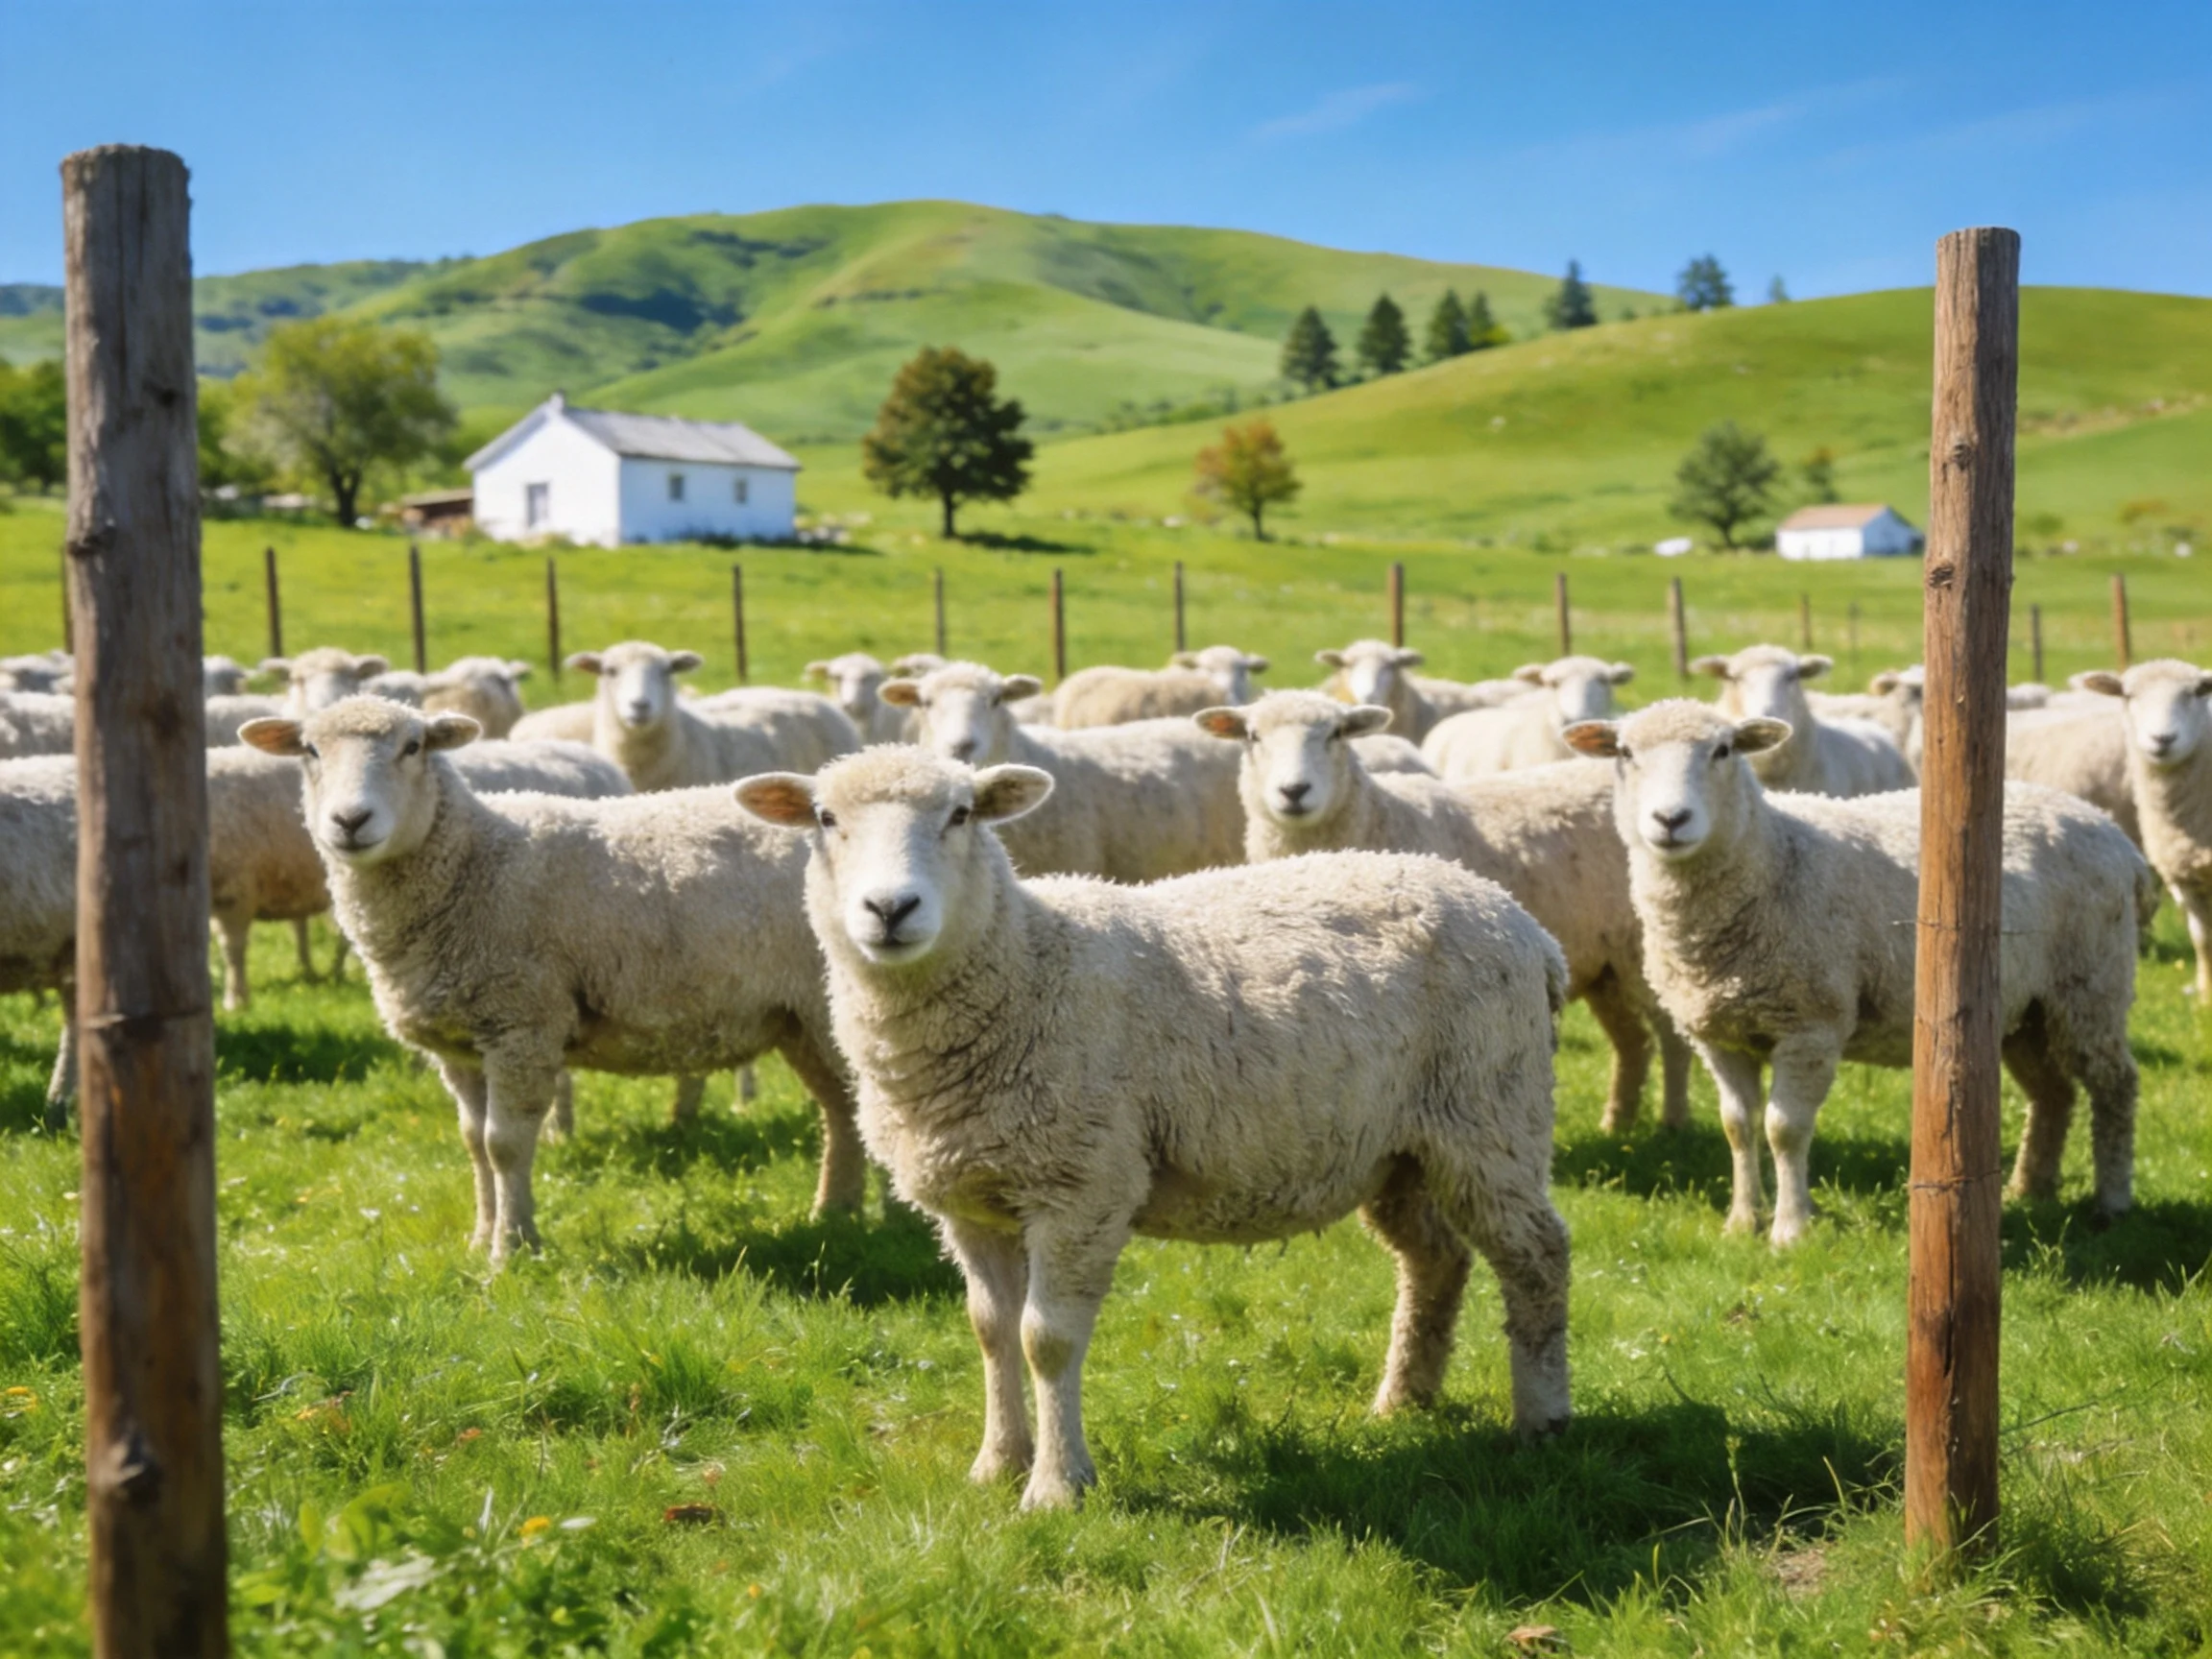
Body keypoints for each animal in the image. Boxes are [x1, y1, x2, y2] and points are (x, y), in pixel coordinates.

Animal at [238, 697, 864, 1258]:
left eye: (412, 747)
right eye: (311, 750)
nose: (350, 821)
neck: (473, 863)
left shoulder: (521, 1021)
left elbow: (505, 1145)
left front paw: (512, 1251)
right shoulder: (460, 1044)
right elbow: (472, 1142)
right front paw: (479, 1240)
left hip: (823, 1006)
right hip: (798, 1019)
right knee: (842, 1110)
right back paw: (839, 1214)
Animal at [735, 746, 1573, 1509]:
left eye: (962, 814)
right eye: (825, 819)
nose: (890, 910)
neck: (1026, 967)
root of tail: (1524, 925)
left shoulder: (1080, 1184)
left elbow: (1046, 1339)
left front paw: (1056, 1487)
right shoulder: (971, 1201)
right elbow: (990, 1331)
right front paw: (996, 1465)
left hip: (1491, 1115)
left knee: (1536, 1256)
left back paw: (1543, 1417)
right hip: (1396, 1148)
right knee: (1435, 1260)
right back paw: (1405, 1400)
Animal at [1203, 691, 1691, 1131]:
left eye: (1336, 734)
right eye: (1252, 736)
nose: (1294, 791)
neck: (1382, 818)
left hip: (1642, 949)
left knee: (1672, 1037)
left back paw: (1672, 1123)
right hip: (1605, 964)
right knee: (1633, 1042)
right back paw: (1617, 1124)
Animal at [2076, 660, 2212, 998]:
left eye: (2198, 691)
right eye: (2128, 695)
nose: (2163, 739)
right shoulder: (2184, 875)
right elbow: (2202, 938)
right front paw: (2206, 996)